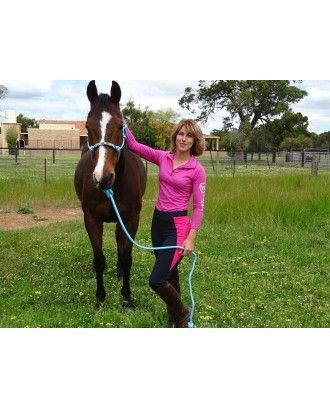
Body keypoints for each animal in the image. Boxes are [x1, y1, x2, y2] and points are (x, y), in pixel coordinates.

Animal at [75, 80, 148, 310]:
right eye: (87, 126)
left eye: (120, 126)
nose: (103, 177)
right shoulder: (91, 219)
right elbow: (99, 260)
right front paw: (100, 298)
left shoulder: (131, 218)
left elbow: (127, 257)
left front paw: (126, 298)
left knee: (119, 243)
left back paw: (119, 272)